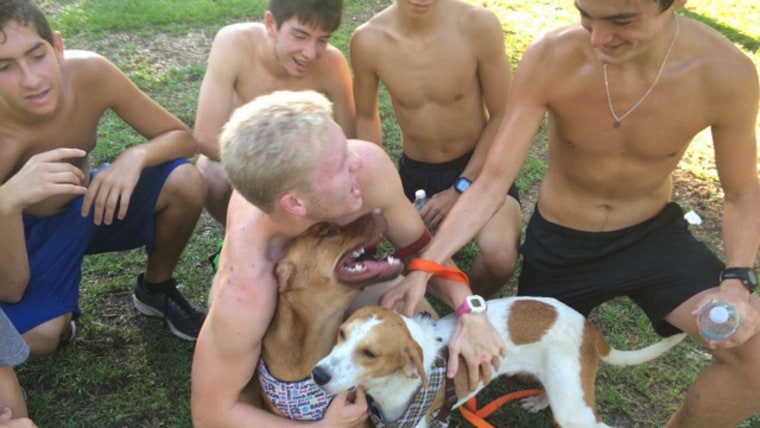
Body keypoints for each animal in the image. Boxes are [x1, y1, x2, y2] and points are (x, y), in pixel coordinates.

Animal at [312, 298, 684, 428]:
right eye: (341, 334)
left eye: (370, 353)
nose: (318, 374)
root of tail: (589, 329)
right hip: (564, 388)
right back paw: (538, 401)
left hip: (573, 411)